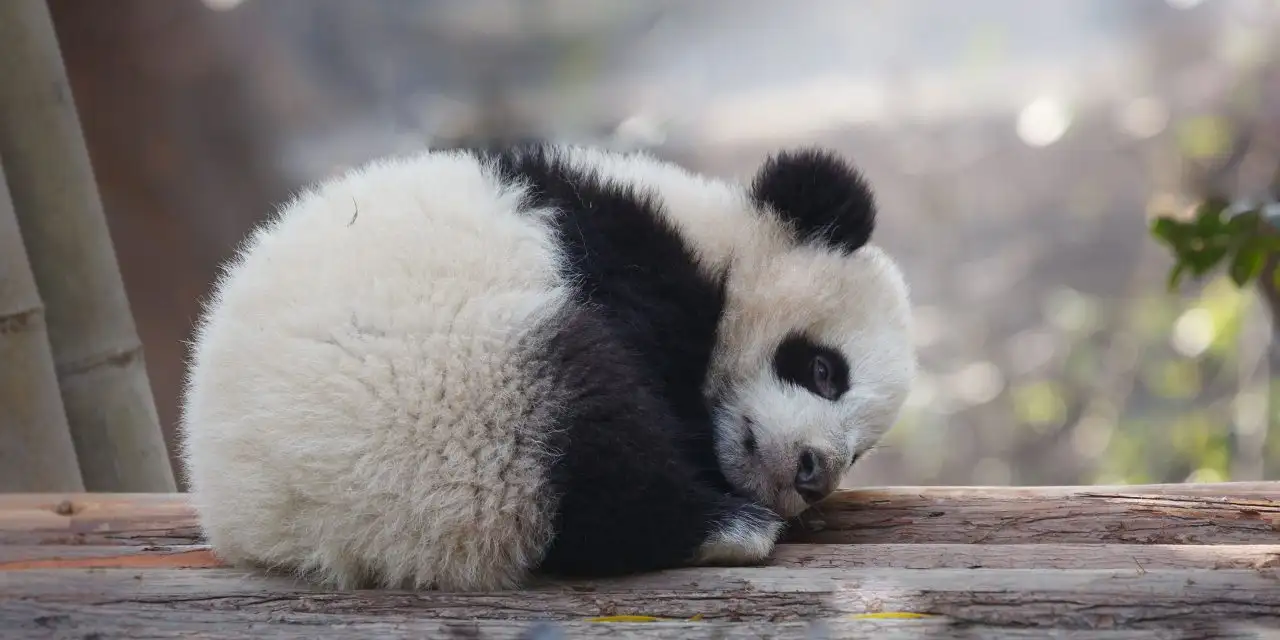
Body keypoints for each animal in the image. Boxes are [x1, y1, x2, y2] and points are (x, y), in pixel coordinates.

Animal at [180, 142, 916, 591]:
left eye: (860, 451)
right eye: (823, 370)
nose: (814, 473)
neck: (710, 235)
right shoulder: (622, 252)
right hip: (454, 405)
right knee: (591, 427)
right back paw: (728, 525)